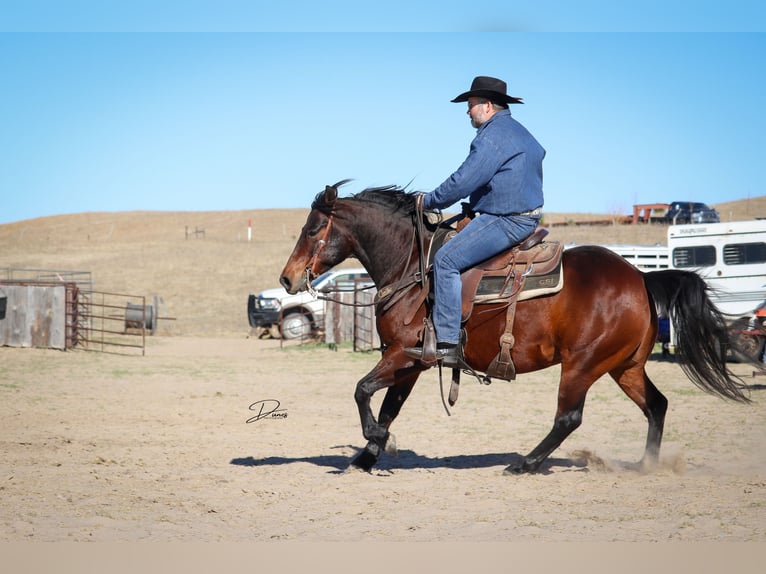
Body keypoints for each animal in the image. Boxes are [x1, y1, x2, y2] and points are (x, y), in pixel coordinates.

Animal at [279, 181, 751, 474]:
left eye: (313, 228)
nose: (287, 279)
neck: (414, 268)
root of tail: (641, 278)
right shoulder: (409, 362)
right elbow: (387, 406)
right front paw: (366, 456)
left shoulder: (403, 354)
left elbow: (362, 392)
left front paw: (379, 442)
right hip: (625, 366)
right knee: (657, 405)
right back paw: (646, 465)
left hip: (582, 365)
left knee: (569, 417)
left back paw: (525, 463)